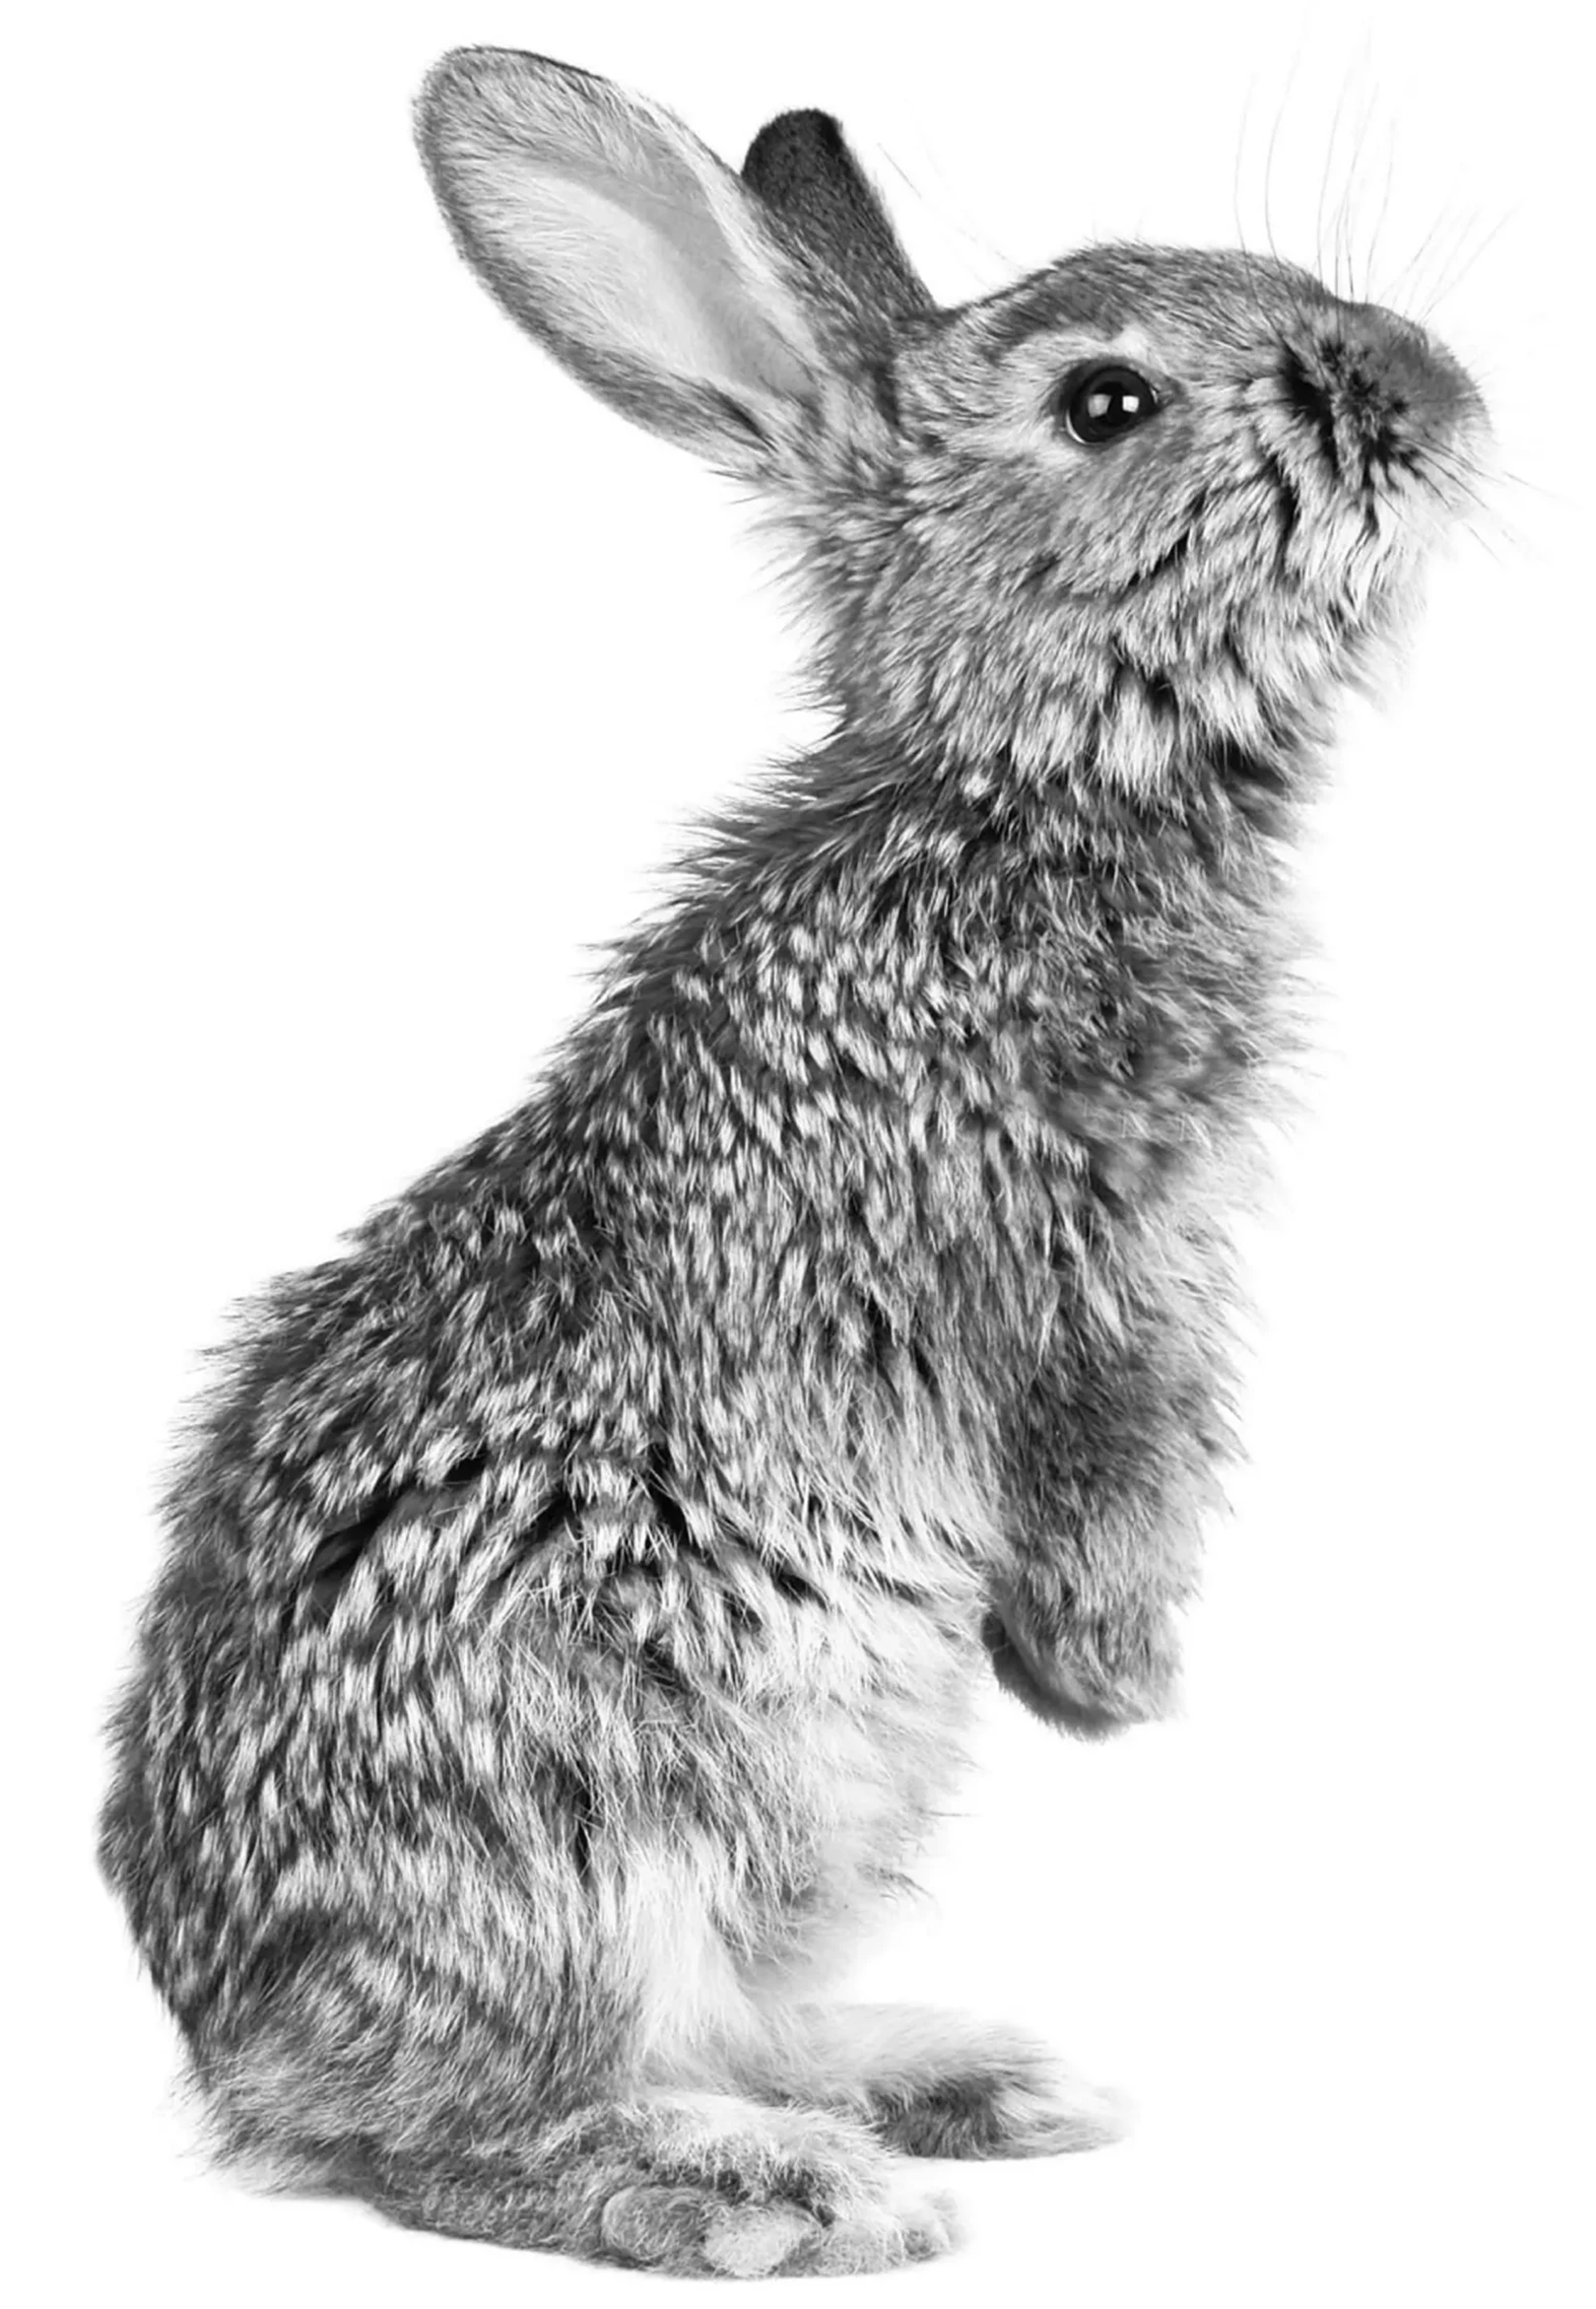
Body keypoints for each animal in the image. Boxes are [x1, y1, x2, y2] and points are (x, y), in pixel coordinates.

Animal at [98, 43, 1486, 2282]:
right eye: (1108, 402)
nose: (1432, 390)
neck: (1025, 790)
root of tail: (237, 2033)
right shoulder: (1068, 1252)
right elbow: (1118, 1455)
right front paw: (1119, 1678)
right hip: (598, 1818)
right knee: (451, 2139)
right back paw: (766, 2186)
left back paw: (964, 2080)